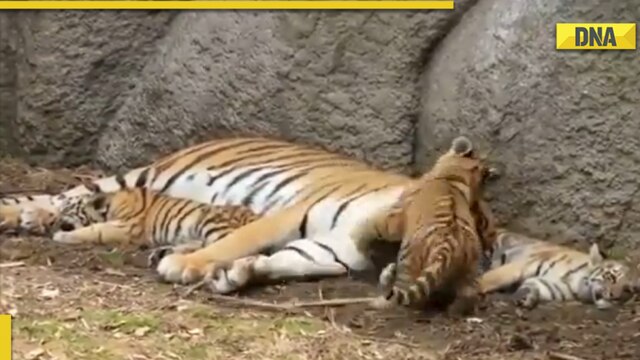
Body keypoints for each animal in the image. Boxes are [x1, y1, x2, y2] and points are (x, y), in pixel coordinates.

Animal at [49, 179, 260, 268]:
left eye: (66, 209)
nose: (52, 222)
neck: (112, 204)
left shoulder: (127, 228)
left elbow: (93, 230)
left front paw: (62, 235)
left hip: (211, 223)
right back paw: (164, 252)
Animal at [368, 136, 498, 314]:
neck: (454, 177)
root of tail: (448, 247)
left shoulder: (395, 217)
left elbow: (383, 223)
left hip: (407, 261)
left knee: (404, 295)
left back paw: (380, 302)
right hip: (470, 270)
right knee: (467, 296)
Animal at [478, 231, 640, 310]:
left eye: (627, 290)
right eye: (612, 278)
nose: (615, 297)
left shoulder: (550, 286)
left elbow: (533, 285)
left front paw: (526, 298)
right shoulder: (521, 266)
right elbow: (488, 279)